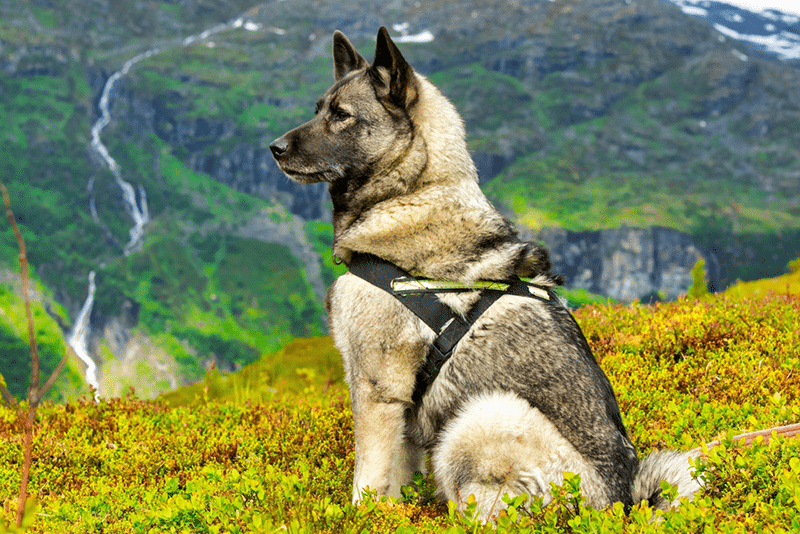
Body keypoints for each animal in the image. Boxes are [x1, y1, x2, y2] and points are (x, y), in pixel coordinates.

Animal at [270, 27, 700, 520]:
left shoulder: (376, 388)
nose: (274, 148)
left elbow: (369, 477)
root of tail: (620, 502)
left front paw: (364, 519)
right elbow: (397, 474)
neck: (411, 190)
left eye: (342, 116)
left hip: (482, 415)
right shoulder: (401, 406)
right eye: (318, 110)